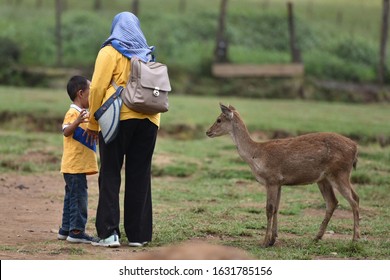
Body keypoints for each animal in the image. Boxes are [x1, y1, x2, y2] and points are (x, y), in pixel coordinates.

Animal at [206, 104, 362, 247]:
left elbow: (269, 209)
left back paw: (355, 239)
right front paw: (273, 239)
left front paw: (264, 242)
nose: (208, 131)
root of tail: (355, 148)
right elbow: (276, 207)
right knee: (334, 201)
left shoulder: (272, 179)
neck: (255, 155)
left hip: (339, 173)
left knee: (353, 200)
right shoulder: (280, 182)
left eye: (219, 119)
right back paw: (316, 237)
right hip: (324, 179)